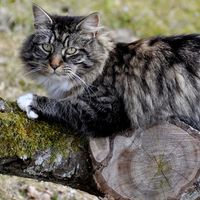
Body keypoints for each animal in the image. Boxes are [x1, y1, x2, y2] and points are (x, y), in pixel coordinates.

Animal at [16, 3, 200, 137]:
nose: (54, 65)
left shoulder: (107, 110)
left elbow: (64, 105)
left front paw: (29, 101)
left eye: (71, 51)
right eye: (47, 47)